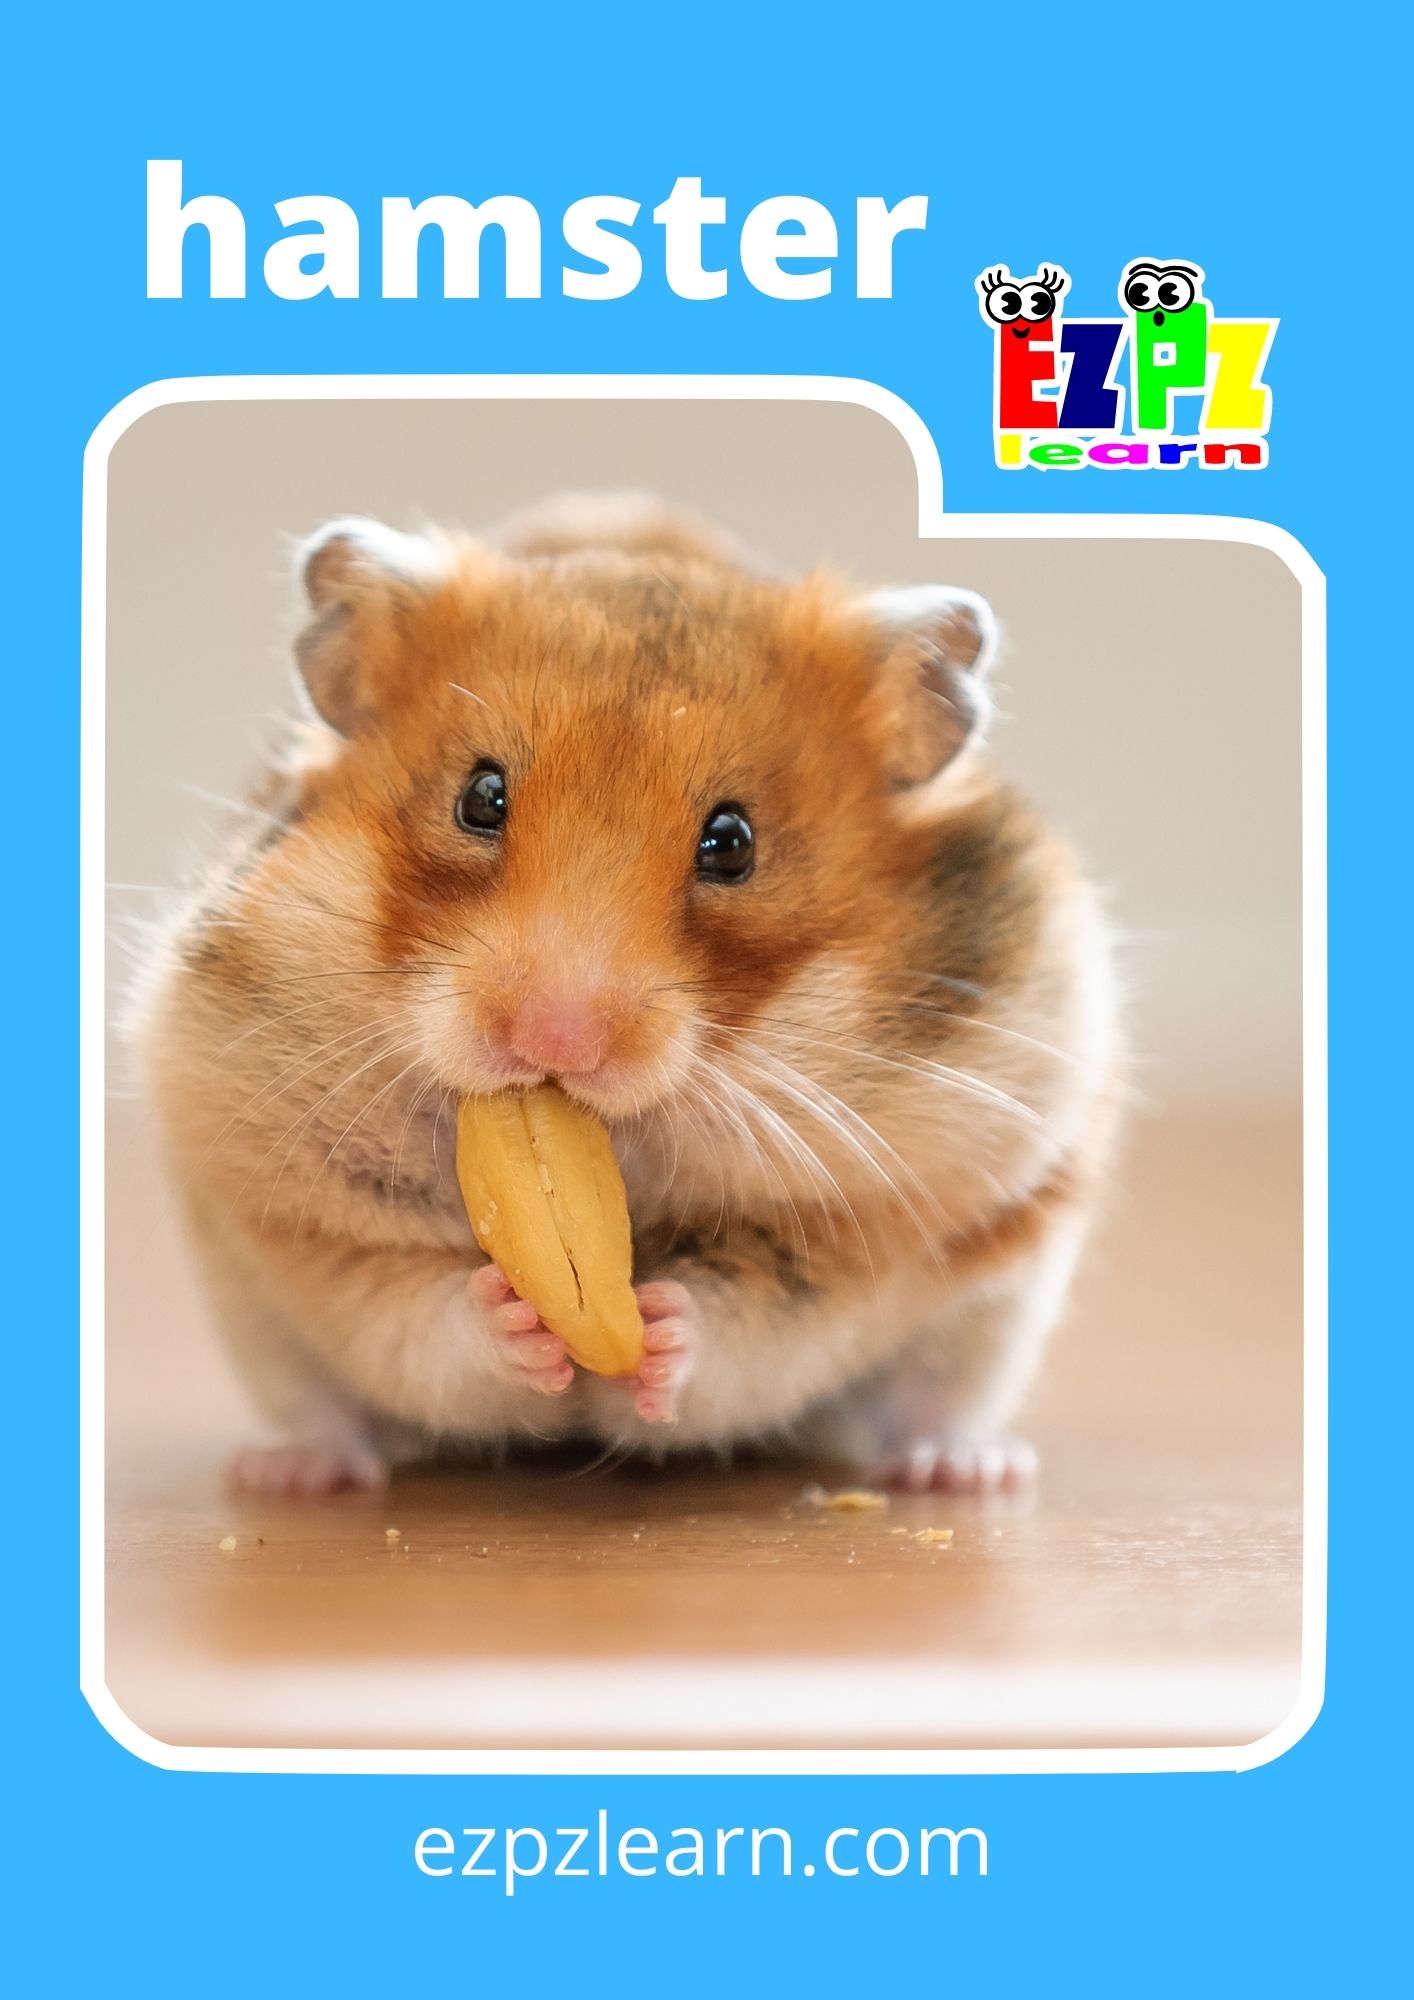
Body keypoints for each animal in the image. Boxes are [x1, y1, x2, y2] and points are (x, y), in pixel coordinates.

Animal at [134, 494, 1120, 1497]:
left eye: (733, 843)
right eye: (480, 798)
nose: (555, 1044)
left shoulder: (874, 1224)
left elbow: (754, 1322)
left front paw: (657, 1330)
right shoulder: (299, 1210)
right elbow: (417, 1312)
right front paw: (515, 1317)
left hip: (996, 1311)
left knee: (929, 1403)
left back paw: (964, 1471)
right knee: (322, 1406)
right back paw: (290, 1474)